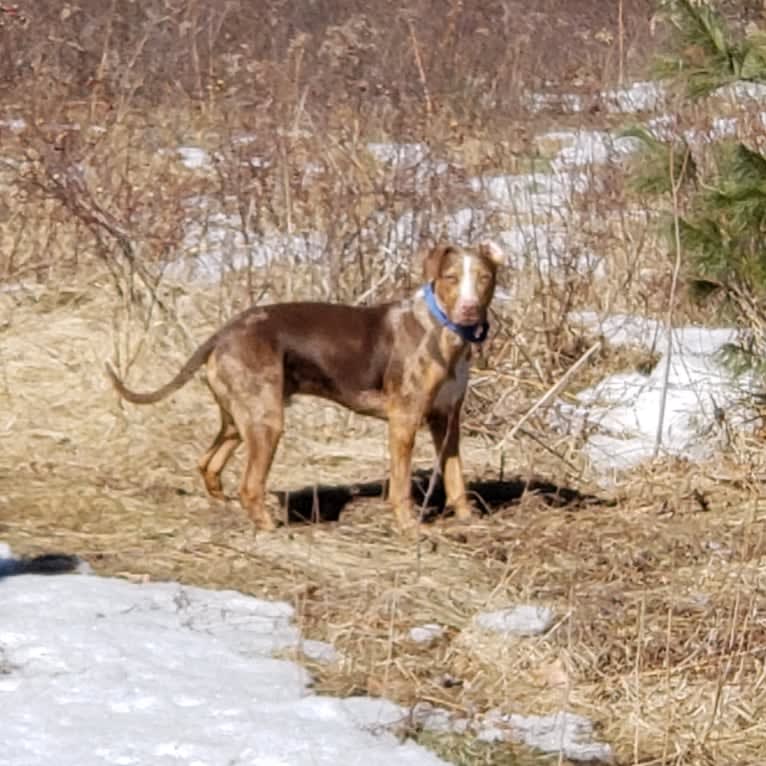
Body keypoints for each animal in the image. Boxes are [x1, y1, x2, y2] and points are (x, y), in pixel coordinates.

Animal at [106, 243, 504, 532]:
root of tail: (223, 333)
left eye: (484, 278)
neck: (444, 332)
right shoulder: (404, 421)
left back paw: (228, 508)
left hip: (240, 419)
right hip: (266, 421)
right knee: (249, 485)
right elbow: (402, 487)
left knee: (209, 464)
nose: (469, 310)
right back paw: (271, 529)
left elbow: (455, 478)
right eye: (451, 277)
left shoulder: (446, 420)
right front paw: (409, 527)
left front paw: (468, 519)